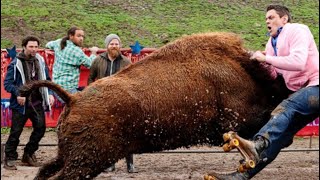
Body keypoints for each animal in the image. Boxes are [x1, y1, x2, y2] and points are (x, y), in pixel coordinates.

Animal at [20, 32, 290, 179]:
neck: (243, 70)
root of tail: (73, 98)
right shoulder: (237, 120)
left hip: (69, 155)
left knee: (45, 172)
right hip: (87, 161)